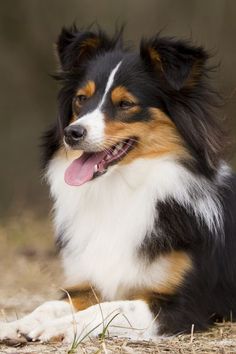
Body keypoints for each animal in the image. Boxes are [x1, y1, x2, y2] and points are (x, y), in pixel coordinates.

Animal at [0, 27, 236, 342]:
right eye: (81, 99)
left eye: (125, 104)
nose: (72, 133)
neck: (122, 189)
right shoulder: (88, 285)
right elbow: (51, 304)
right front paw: (18, 323)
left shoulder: (184, 305)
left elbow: (114, 308)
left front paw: (61, 327)